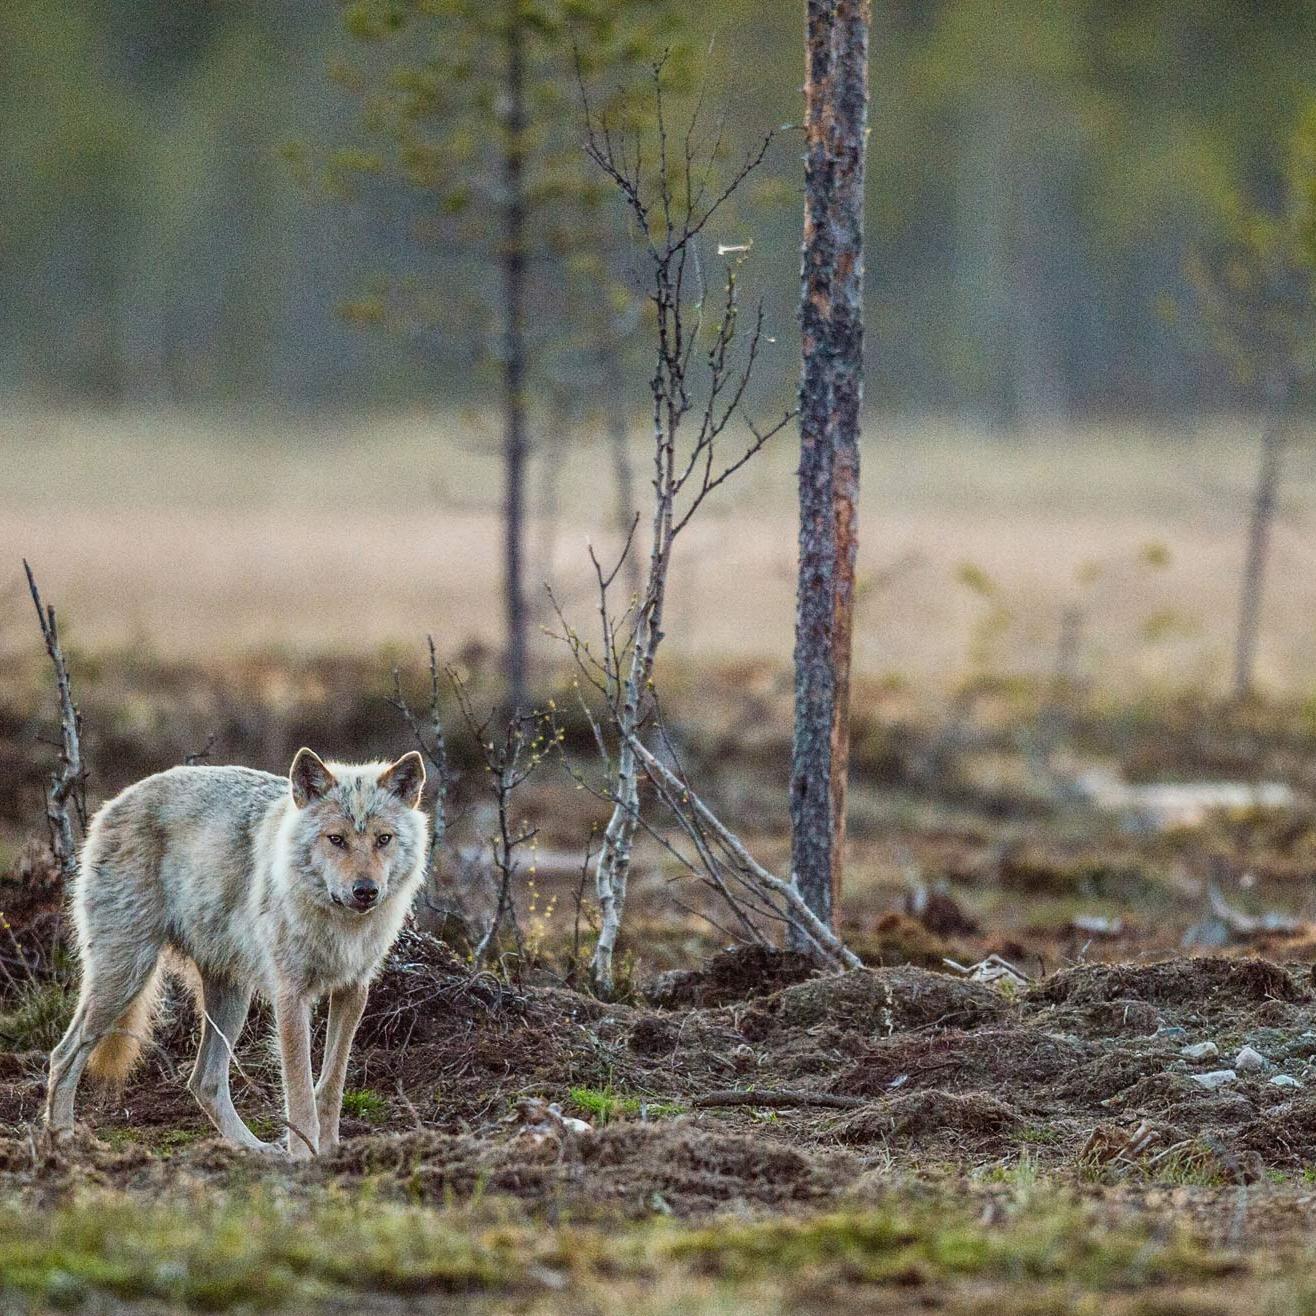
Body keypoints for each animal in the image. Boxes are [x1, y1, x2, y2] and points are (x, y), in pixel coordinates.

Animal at [43, 747, 426, 1158]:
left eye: (383, 839)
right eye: (336, 839)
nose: (365, 890)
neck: (338, 926)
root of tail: (112, 803)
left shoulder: (353, 991)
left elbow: (330, 1087)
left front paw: (330, 1153)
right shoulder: (290, 997)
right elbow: (300, 1095)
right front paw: (305, 1157)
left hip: (229, 998)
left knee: (203, 1082)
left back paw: (253, 1149)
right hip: (125, 977)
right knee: (62, 1056)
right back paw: (63, 1141)